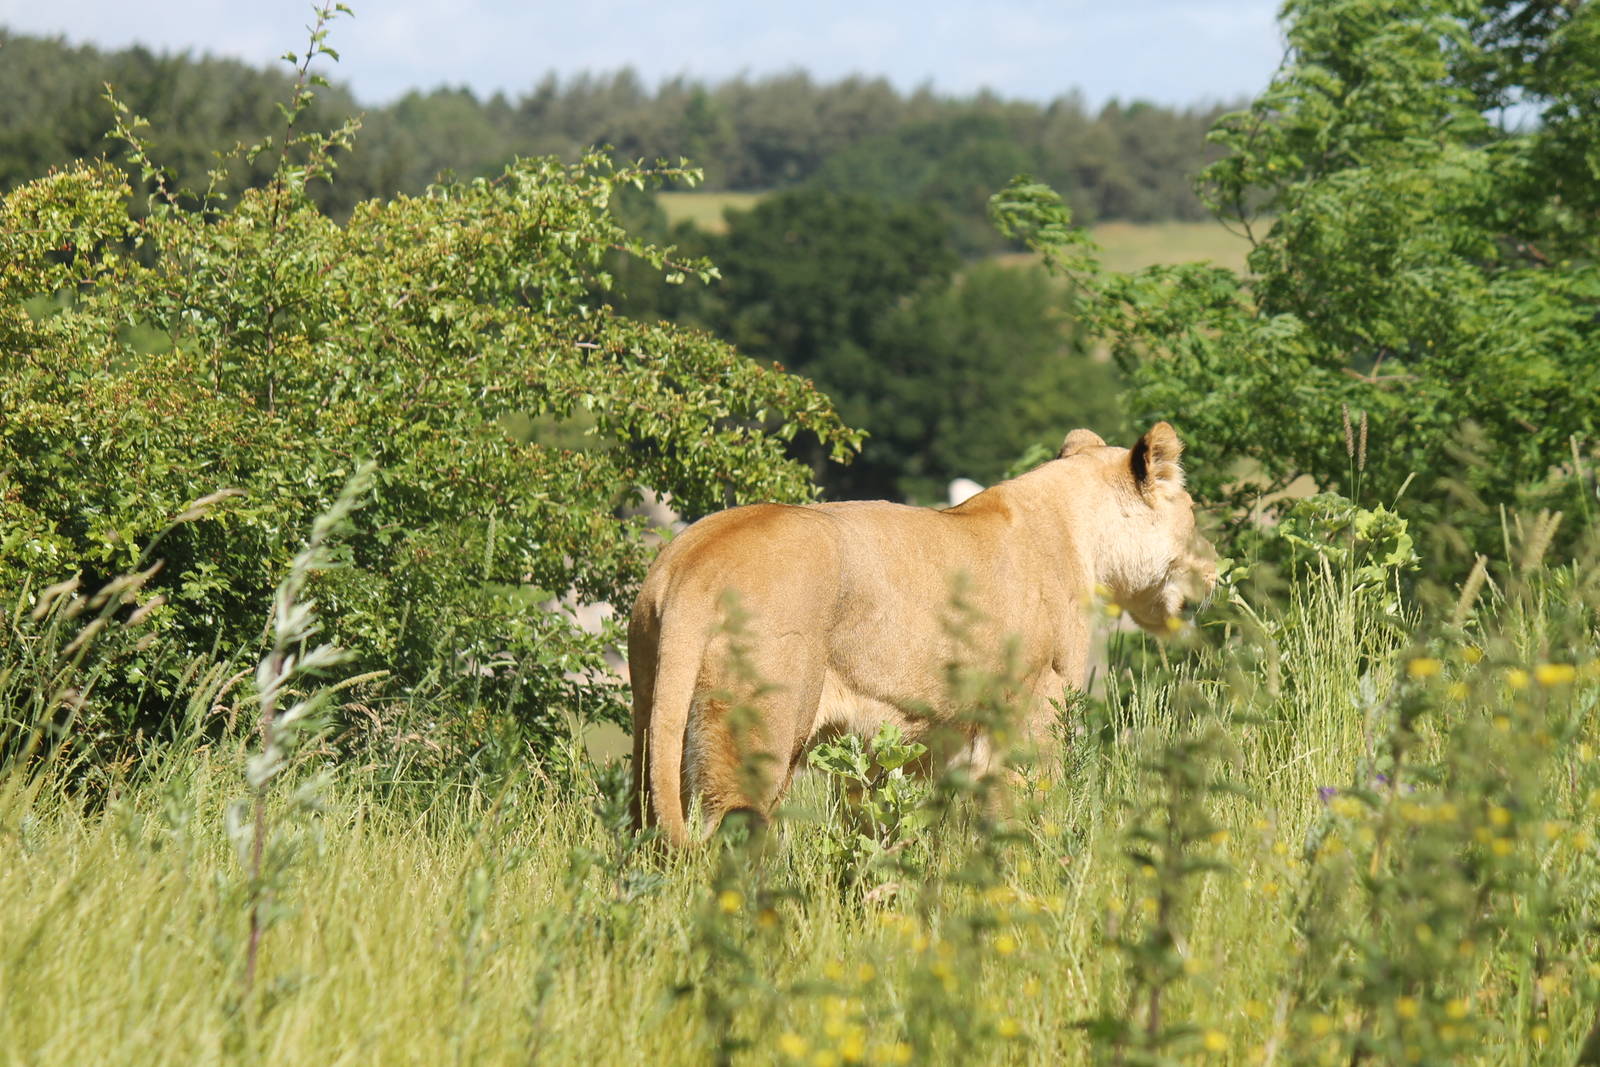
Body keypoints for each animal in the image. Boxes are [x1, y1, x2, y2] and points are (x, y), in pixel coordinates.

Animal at [627, 422, 1217, 845]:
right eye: (1193, 513)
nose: (1215, 569)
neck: (1082, 534)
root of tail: (696, 562)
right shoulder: (1032, 710)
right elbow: (1022, 814)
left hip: (651, 720)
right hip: (761, 732)